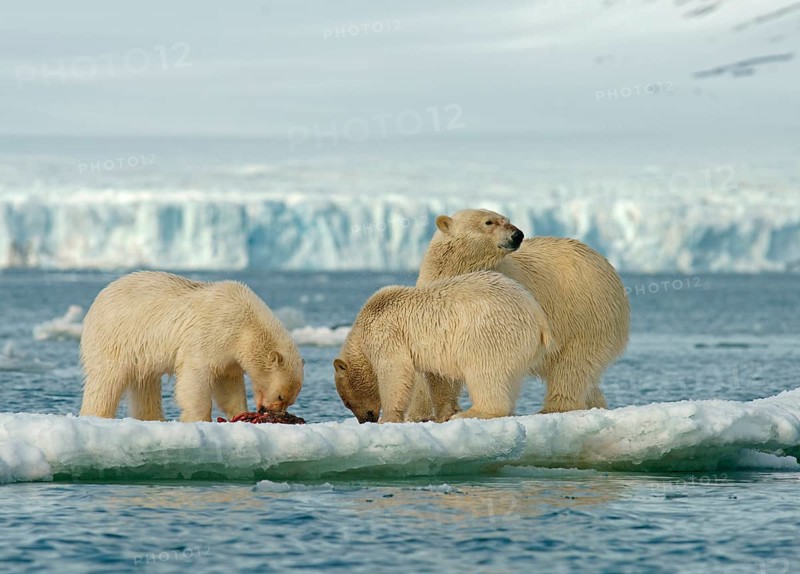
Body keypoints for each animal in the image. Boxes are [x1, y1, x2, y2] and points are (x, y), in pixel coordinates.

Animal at [79, 271, 304, 422]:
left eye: (290, 401)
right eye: (280, 396)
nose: (273, 412)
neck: (245, 324)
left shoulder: (229, 353)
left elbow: (228, 383)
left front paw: (240, 413)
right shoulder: (211, 334)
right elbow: (195, 378)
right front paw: (199, 419)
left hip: (141, 352)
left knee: (145, 384)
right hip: (115, 338)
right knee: (106, 381)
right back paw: (95, 415)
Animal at [333, 270, 553, 423]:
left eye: (347, 402)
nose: (364, 420)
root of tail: (538, 316)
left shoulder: (386, 333)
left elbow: (395, 371)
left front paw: (387, 418)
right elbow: (439, 378)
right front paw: (442, 414)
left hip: (489, 333)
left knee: (484, 373)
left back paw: (471, 413)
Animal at [410, 208, 630, 417]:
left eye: (506, 219)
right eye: (489, 222)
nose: (518, 234)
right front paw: (422, 413)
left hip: (586, 315)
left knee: (573, 366)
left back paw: (554, 407)